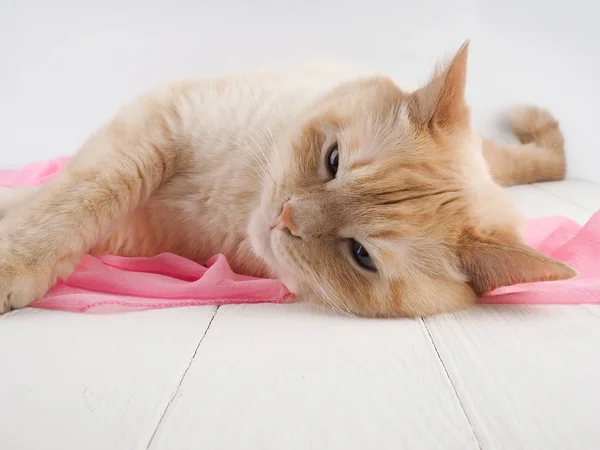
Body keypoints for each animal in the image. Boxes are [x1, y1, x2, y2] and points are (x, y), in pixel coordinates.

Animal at [0, 42, 576, 316]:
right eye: (333, 161)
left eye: (361, 255)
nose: (286, 216)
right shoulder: (154, 130)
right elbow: (72, 201)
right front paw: (17, 257)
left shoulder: (131, 225)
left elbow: (61, 205)